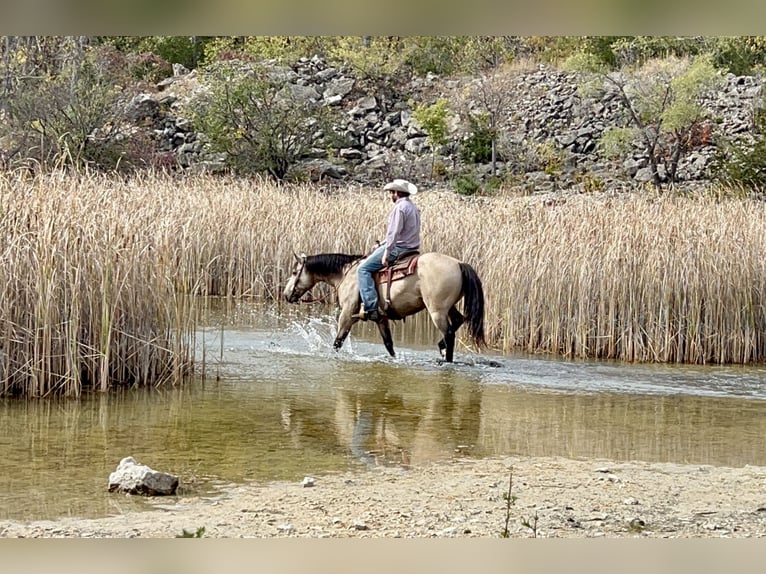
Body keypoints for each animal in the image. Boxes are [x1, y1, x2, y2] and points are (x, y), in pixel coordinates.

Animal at [282, 253, 486, 364]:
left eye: (294, 272)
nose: (286, 294)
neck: (346, 274)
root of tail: (458, 264)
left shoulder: (347, 314)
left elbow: (338, 342)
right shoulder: (381, 318)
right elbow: (389, 345)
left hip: (436, 311)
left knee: (449, 333)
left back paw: (446, 358)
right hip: (448, 308)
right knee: (459, 320)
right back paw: (441, 348)